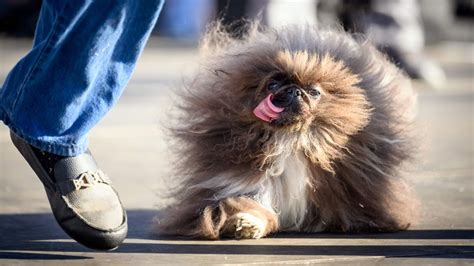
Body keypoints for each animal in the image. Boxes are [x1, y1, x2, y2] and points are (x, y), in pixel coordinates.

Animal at [157, 22, 416, 239]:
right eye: (272, 84)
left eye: (314, 92)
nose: (293, 90)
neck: (291, 140)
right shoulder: (244, 183)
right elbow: (252, 206)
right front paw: (245, 224)